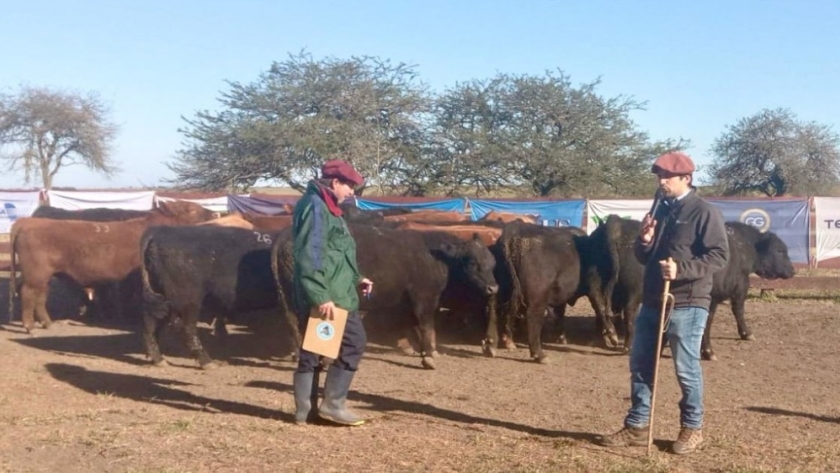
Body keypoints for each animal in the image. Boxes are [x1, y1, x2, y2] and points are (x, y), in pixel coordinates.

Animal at [9, 200, 215, 332]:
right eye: (190, 209)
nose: (215, 213)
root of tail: (27, 222)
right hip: (35, 274)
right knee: (28, 293)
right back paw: (29, 326)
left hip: (43, 276)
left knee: (40, 296)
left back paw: (47, 323)